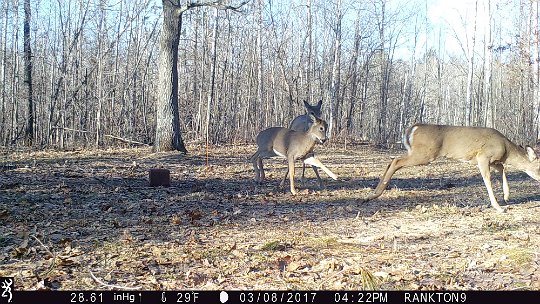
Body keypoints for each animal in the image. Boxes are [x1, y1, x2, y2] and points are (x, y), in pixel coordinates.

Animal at [362, 123, 540, 211]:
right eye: (539, 168)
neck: (507, 149)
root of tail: (414, 127)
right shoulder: (483, 156)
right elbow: (488, 179)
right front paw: (498, 207)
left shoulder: (493, 161)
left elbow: (503, 169)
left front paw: (506, 196)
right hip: (424, 154)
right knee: (395, 162)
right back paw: (374, 194)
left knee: (391, 161)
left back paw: (372, 194)